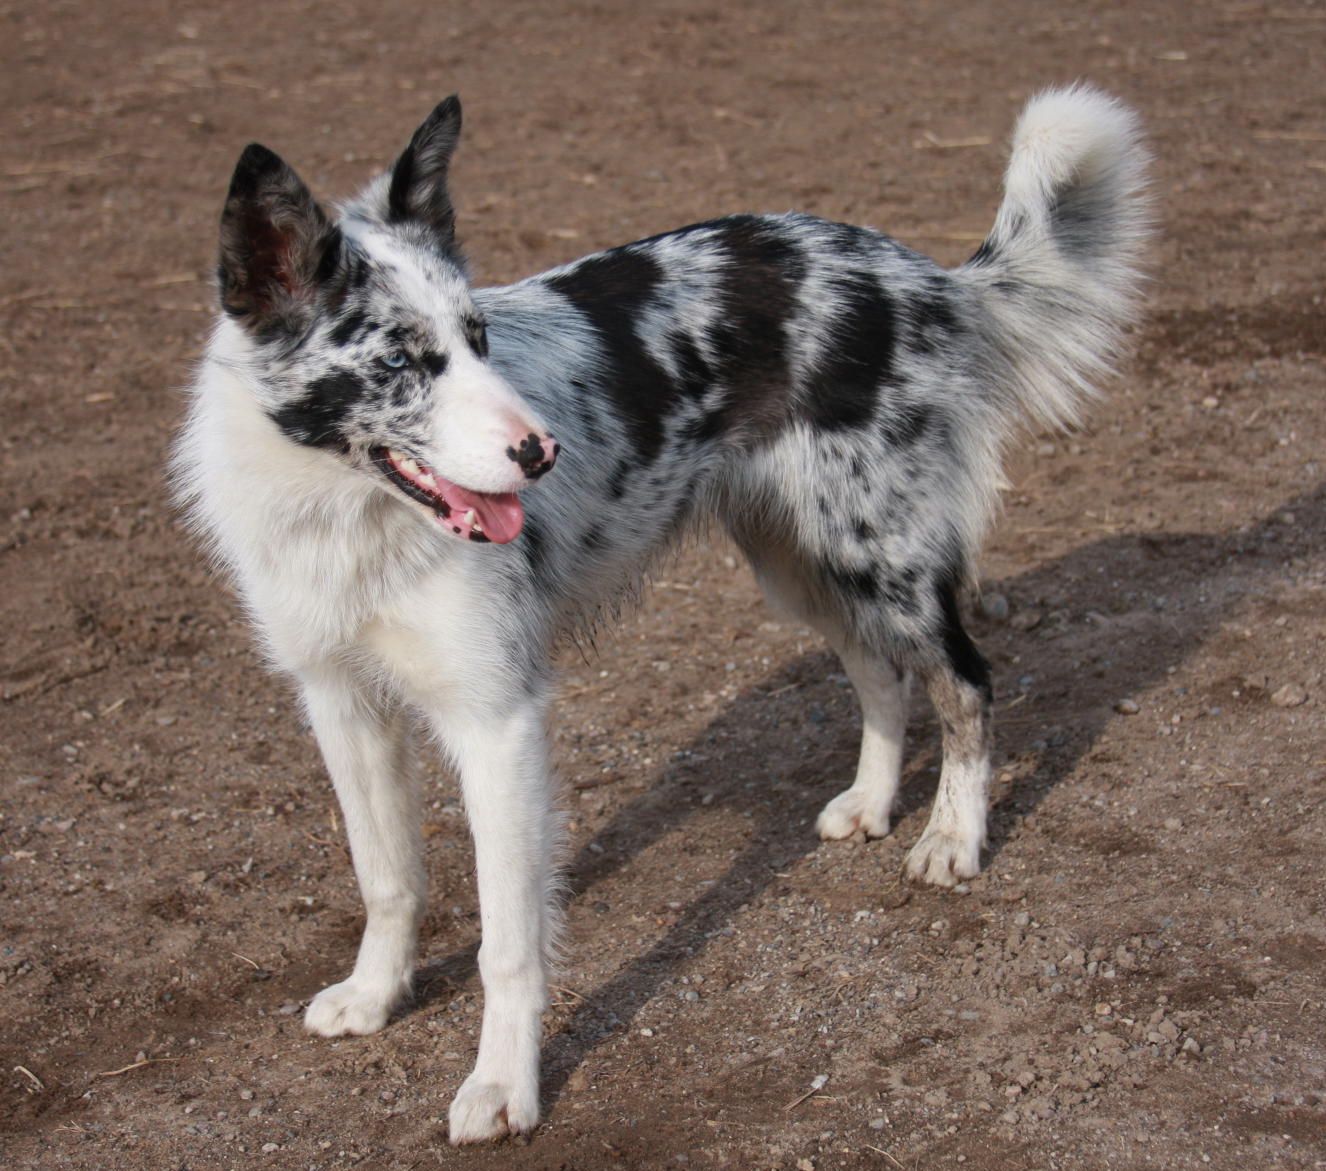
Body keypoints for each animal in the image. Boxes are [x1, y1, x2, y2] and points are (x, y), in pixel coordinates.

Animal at [173, 84, 1150, 1145]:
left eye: (479, 338)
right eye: (399, 360)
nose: (543, 453)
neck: (348, 511)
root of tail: (922, 273)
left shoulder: (496, 722)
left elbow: (508, 944)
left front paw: (502, 1085)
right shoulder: (343, 706)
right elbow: (385, 875)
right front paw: (375, 994)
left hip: (877, 553)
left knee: (965, 681)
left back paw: (952, 838)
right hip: (798, 564)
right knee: (879, 674)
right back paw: (872, 803)